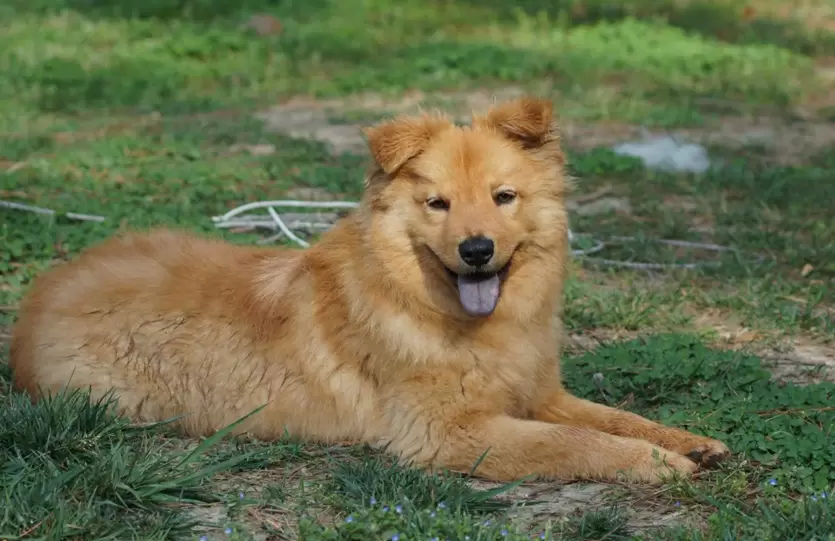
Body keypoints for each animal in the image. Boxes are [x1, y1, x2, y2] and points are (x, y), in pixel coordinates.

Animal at [8, 97, 732, 480]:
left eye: (503, 197)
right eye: (438, 204)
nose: (477, 250)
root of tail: (41, 296)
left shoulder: (537, 393)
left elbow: (605, 417)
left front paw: (682, 439)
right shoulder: (445, 433)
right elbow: (571, 442)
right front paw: (654, 461)